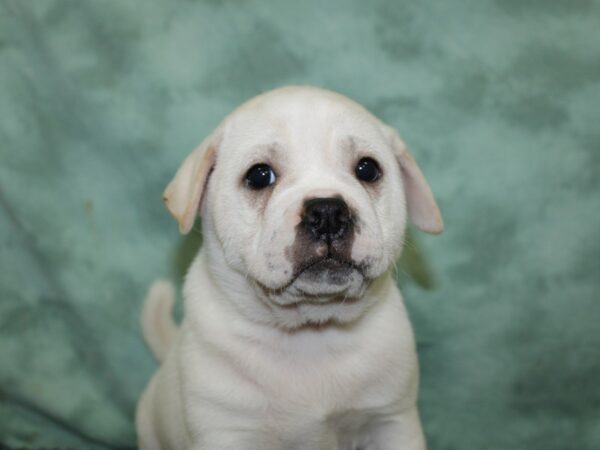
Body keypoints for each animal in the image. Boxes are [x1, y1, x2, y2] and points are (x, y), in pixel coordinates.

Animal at [137, 85, 446, 450]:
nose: (327, 212)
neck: (311, 333)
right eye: (259, 175)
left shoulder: (391, 421)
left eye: (368, 170)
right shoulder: (226, 432)